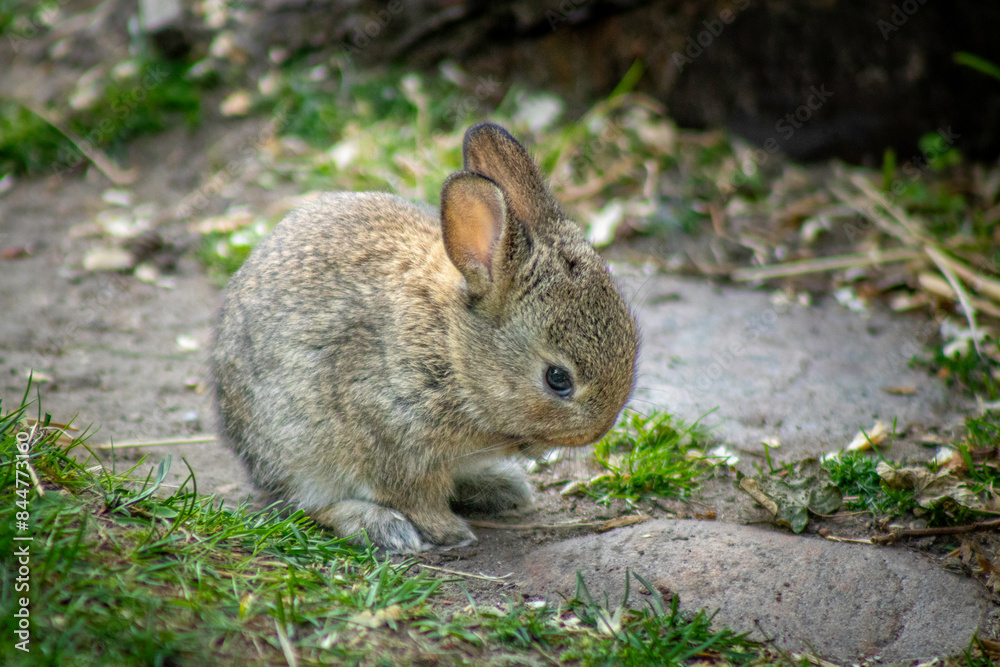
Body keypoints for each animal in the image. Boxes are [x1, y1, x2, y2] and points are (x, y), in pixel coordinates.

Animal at [211, 122, 638, 553]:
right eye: (557, 379)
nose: (600, 430)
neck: (453, 351)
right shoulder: (392, 436)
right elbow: (415, 497)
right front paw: (449, 531)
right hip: (297, 451)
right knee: (306, 505)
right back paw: (380, 526)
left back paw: (501, 487)